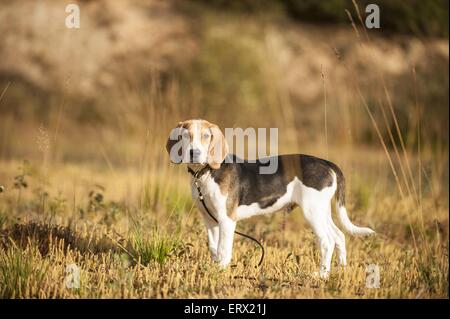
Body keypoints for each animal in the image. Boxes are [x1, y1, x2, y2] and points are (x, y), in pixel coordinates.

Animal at [167, 119, 374, 278]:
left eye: (205, 136)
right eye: (185, 136)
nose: (194, 153)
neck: (206, 173)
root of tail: (326, 163)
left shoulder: (226, 220)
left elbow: (223, 250)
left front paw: (220, 272)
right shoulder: (209, 220)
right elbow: (213, 248)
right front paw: (212, 269)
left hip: (312, 212)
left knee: (327, 241)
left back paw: (322, 275)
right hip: (322, 211)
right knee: (339, 236)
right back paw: (341, 269)